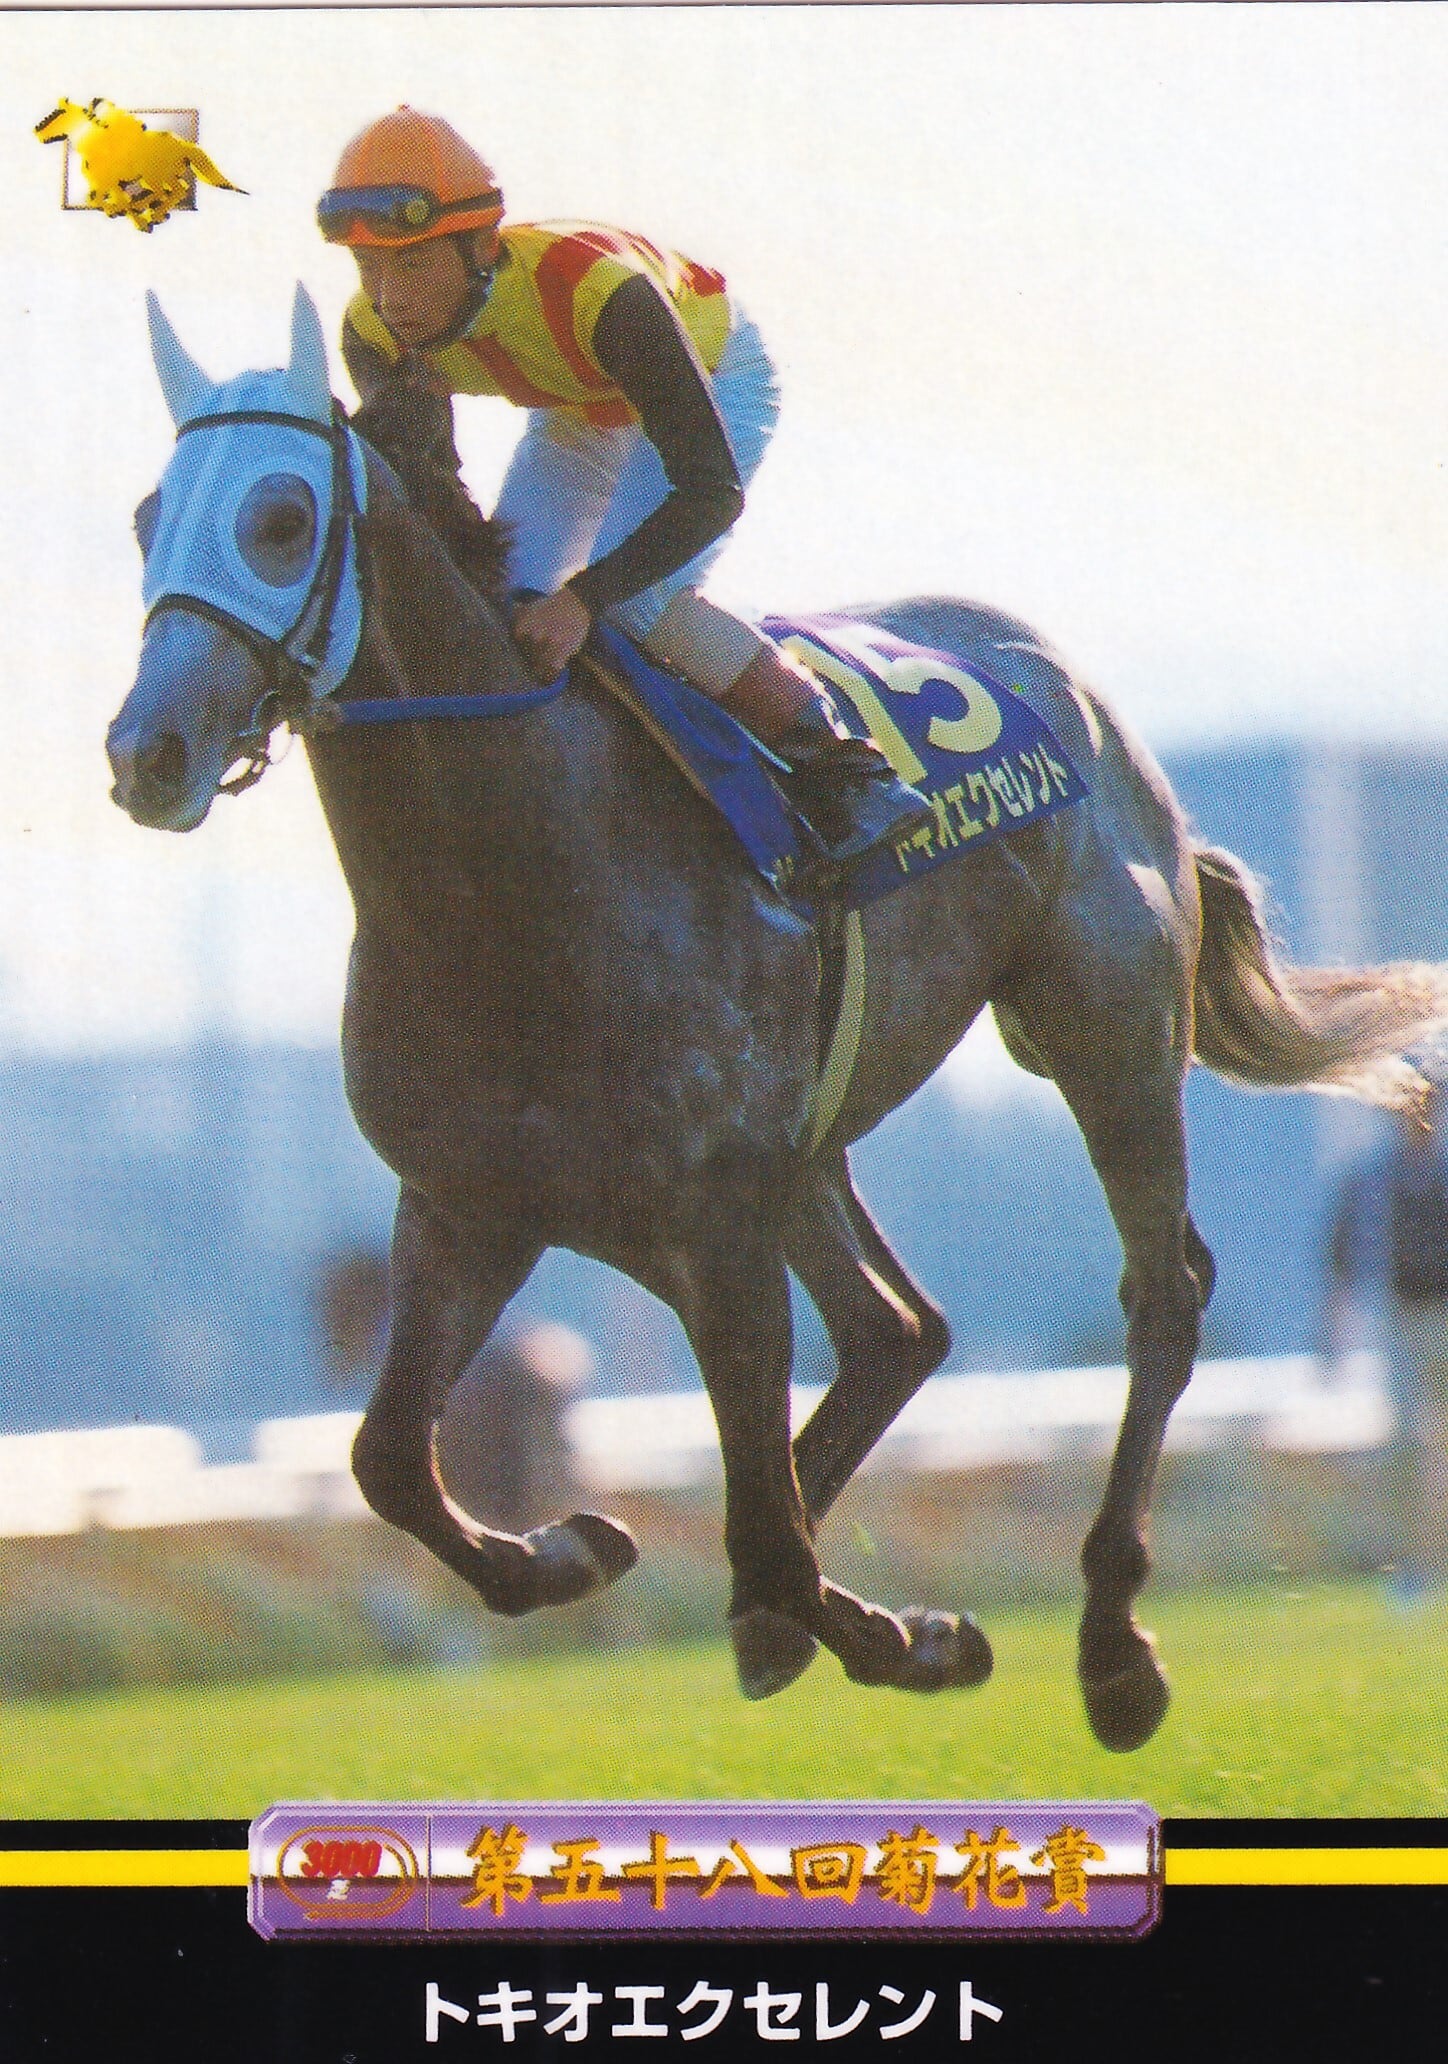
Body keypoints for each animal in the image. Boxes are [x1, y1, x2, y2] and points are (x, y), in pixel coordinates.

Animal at [107, 286, 1448, 1750]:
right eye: (145, 516)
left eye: (282, 517)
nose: (146, 754)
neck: (510, 875)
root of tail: (1080, 695)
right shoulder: (469, 1208)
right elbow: (392, 1461)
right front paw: (578, 1550)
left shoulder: (712, 1220)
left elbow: (764, 1534)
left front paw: (913, 1635)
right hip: (813, 1144)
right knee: (895, 1334)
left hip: (1104, 1032)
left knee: (1157, 1295)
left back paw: (1110, 1647)